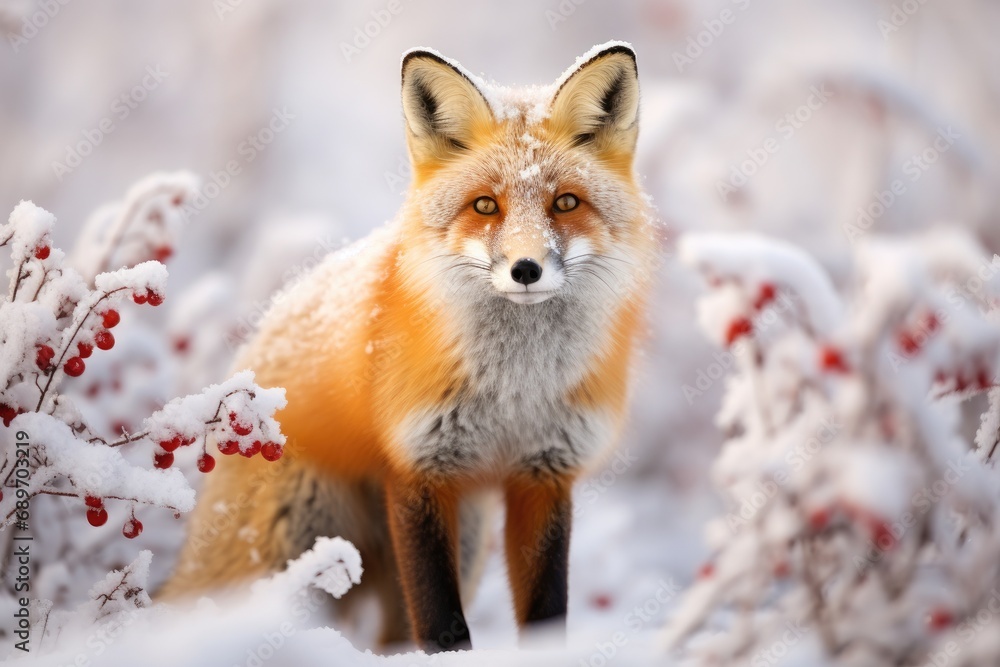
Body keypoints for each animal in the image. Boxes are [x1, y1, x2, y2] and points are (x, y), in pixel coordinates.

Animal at [160, 41, 658, 652]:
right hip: (295, 545)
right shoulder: (419, 466)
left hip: (463, 537)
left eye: (565, 202)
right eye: (485, 206)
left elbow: (545, 610)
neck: (516, 391)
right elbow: (441, 621)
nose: (525, 269)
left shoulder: (544, 473)